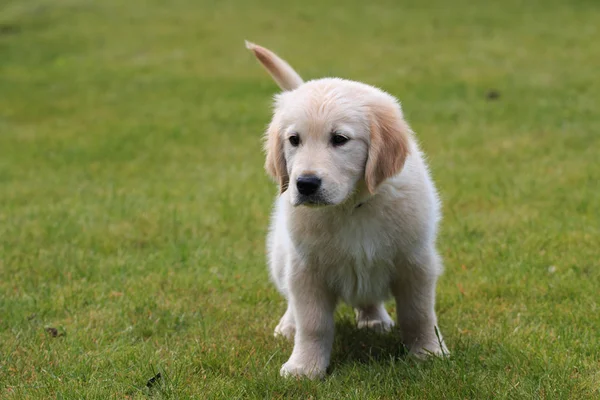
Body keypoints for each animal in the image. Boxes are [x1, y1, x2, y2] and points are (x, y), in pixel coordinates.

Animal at [246, 42, 448, 380]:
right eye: (294, 140)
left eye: (340, 139)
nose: (305, 184)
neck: (350, 207)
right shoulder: (306, 269)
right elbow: (313, 324)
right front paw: (304, 367)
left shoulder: (415, 262)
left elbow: (418, 314)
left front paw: (429, 352)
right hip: (281, 257)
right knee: (291, 300)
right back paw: (288, 325)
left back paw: (374, 319)